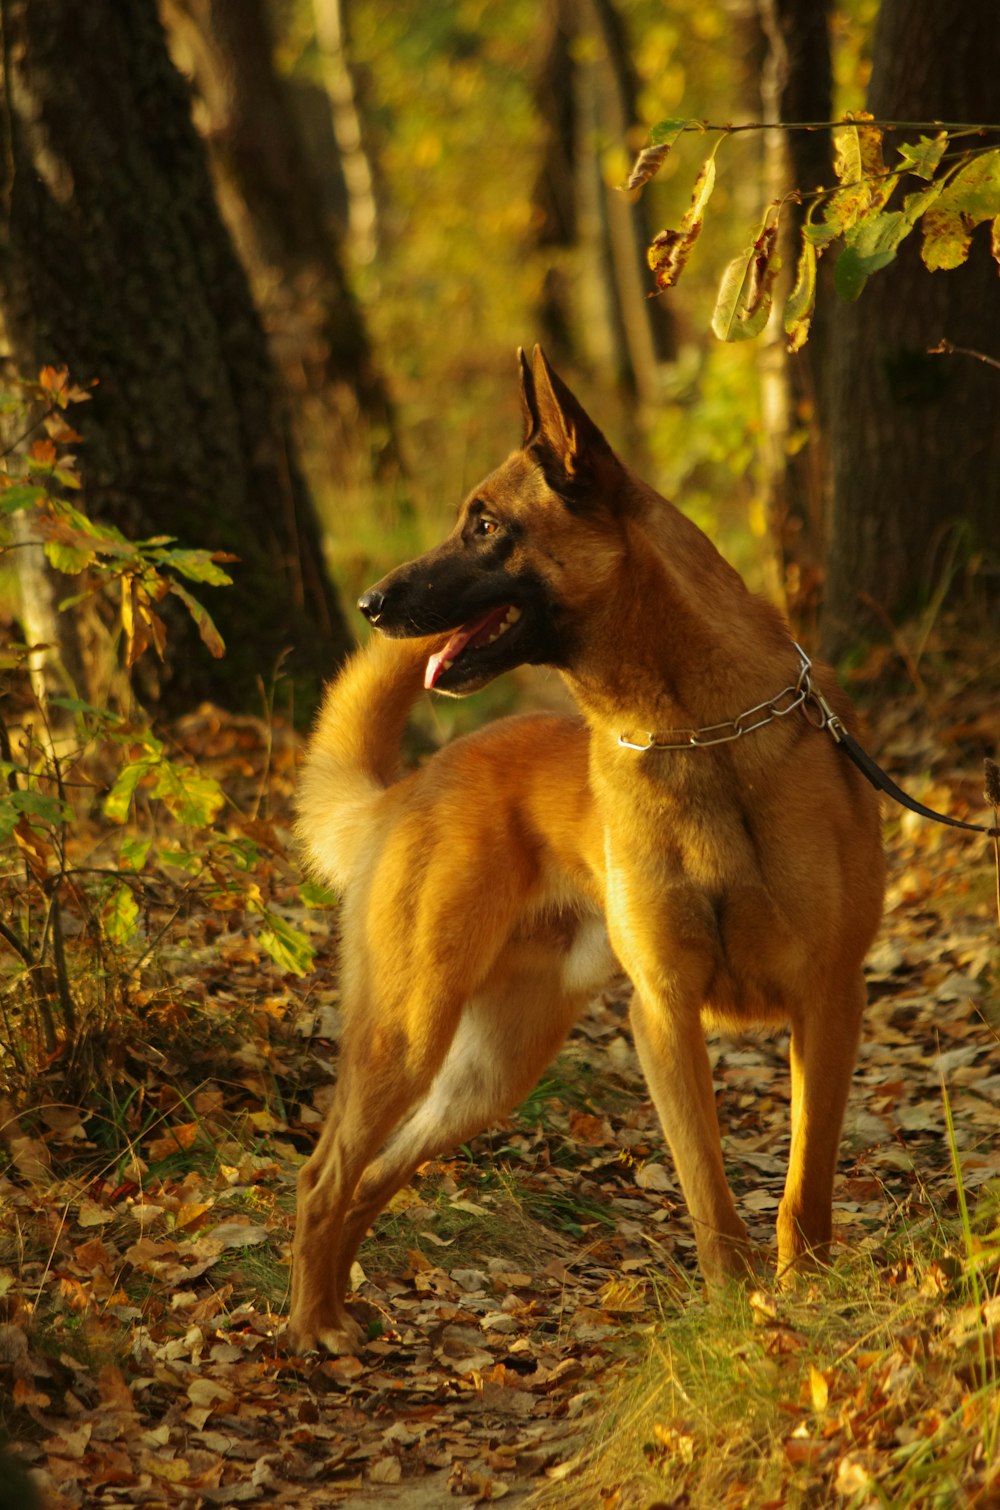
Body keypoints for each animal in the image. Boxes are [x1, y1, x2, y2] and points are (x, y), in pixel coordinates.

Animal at [290, 347, 888, 1352]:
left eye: (486, 525)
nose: (371, 602)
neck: (697, 734)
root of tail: (410, 789)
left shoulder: (828, 1002)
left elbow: (804, 1181)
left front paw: (803, 1300)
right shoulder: (665, 1014)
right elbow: (708, 1193)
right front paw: (738, 1319)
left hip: (487, 1071)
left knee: (370, 1175)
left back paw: (336, 1311)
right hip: (407, 1031)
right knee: (322, 1175)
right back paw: (308, 1327)